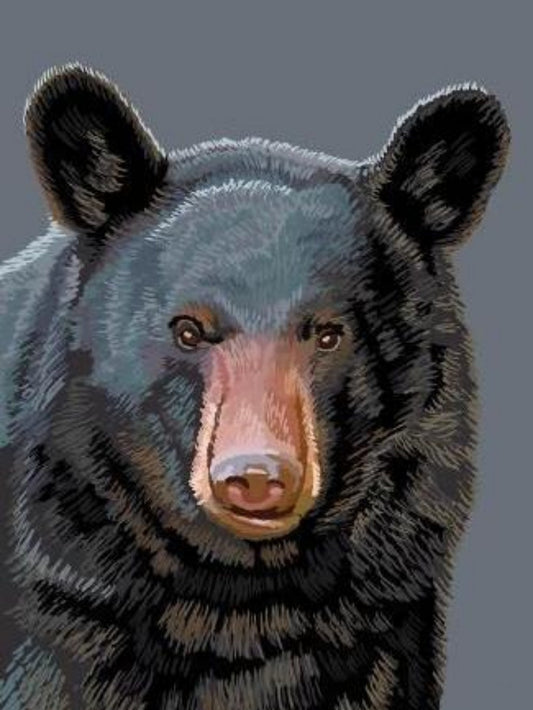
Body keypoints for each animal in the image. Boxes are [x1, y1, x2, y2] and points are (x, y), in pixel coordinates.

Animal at [0, 64, 510, 710]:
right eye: (188, 330)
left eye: (328, 333)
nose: (257, 476)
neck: (241, 603)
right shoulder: (60, 606)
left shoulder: (390, 631)